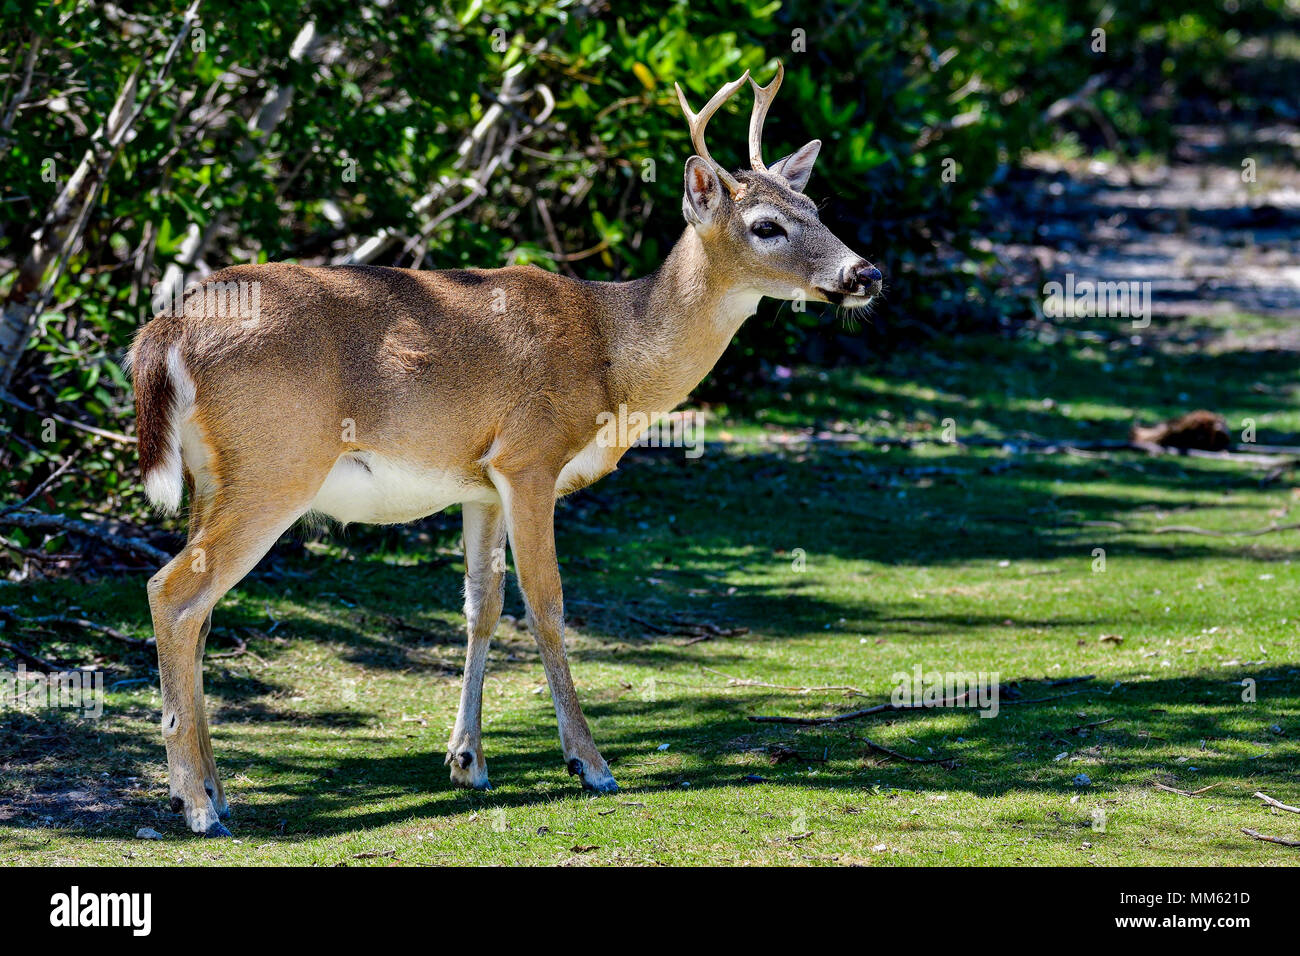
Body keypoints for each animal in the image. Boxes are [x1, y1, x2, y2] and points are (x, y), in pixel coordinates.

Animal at [128, 63, 882, 836]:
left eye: (814, 205)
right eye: (766, 226)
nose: (865, 274)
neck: (613, 355)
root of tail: (166, 329)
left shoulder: (481, 482)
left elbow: (481, 607)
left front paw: (467, 761)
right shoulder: (530, 458)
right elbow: (547, 604)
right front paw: (590, 764)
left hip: (215, 477)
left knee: (199, 609)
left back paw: (212, 791)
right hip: (276, 466)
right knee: (171, 592)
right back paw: (197, 805)